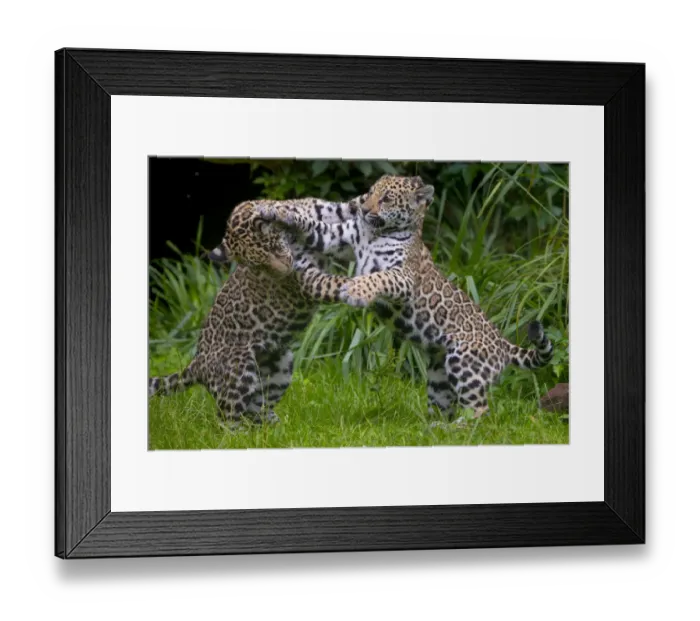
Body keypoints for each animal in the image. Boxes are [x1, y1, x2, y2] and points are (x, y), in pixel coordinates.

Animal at [148, 198, 356, 428]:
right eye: (258, 265)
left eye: (274, 247)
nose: (285, 272)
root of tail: (196, 363)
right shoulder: (310, 282)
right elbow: (337, 283)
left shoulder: (327, 211)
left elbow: (351, 207)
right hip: (239, 370)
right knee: (227, 418)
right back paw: (241, 435)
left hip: (280, 365)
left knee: (257, 408)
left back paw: (277, 430)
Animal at [255, 174, 554, 420]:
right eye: (370, 193)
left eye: (386, 198)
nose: (364, 210)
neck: (375, 231)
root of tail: (503, 343)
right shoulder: (336, 236)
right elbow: (312, 225)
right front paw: (277, 211)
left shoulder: (403, 277)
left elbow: (378, 278)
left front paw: (355, 291)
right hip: (438, 374)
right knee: (445, 404)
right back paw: (433, 427)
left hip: (466, 364)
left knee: (480, 410)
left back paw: (458, 428)